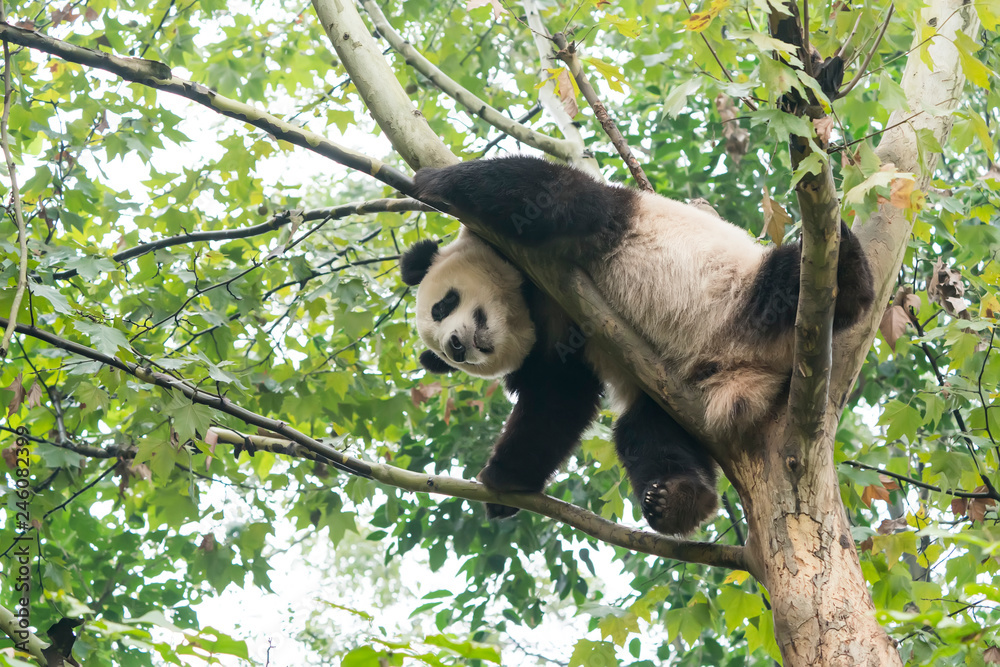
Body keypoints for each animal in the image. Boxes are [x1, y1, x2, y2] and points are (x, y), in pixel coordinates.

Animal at [402, 154, 872, 536]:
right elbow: (557, 400)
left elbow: (553, 196)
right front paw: (505, 479)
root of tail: (749, 371)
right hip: (674, 395)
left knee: (797, 278)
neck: (528, 303)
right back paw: (677, 500)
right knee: (646, 432)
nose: (457, 344)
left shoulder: (559, 253)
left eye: (443, 305)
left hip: (751, 294)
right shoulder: (558, 335)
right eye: (445, 353)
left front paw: (432, 180)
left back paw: (845, 265)